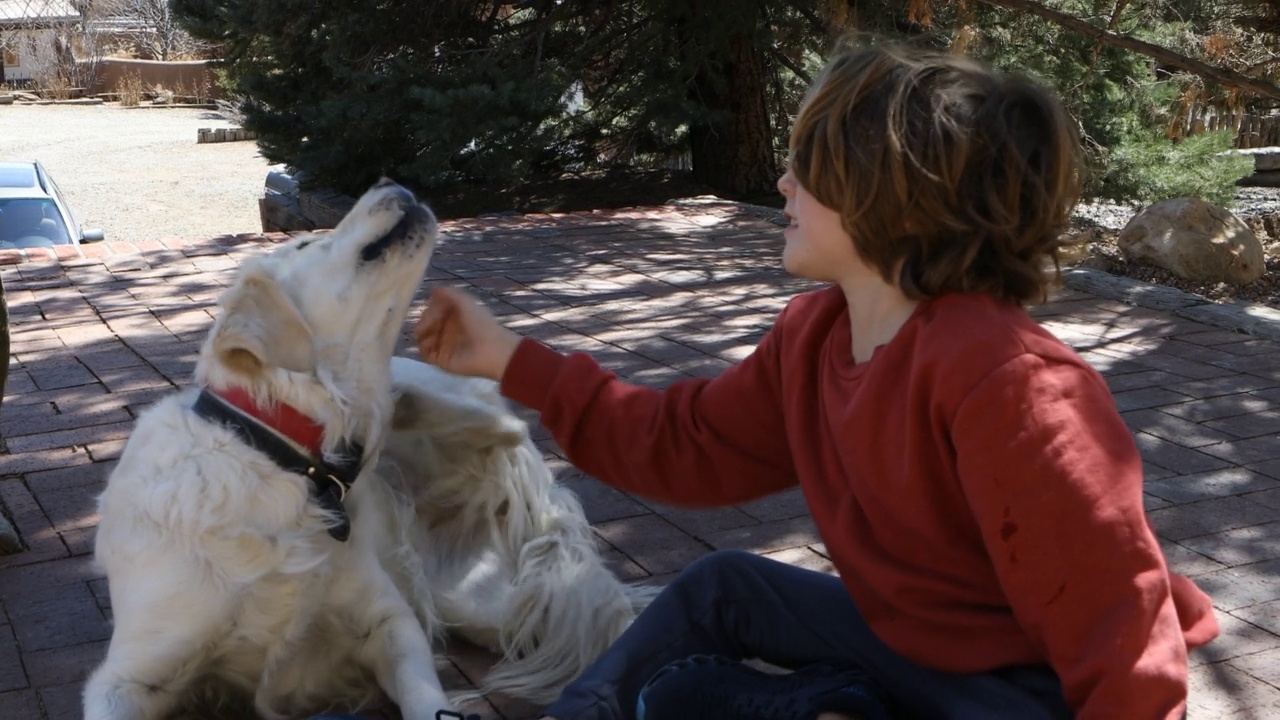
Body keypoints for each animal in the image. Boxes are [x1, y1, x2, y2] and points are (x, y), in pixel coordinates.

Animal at [81, 180, 460, 717]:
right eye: (305, 244)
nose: (389, 182)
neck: (278, 458)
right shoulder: (125, 678)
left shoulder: (387, 620)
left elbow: (425, 694)